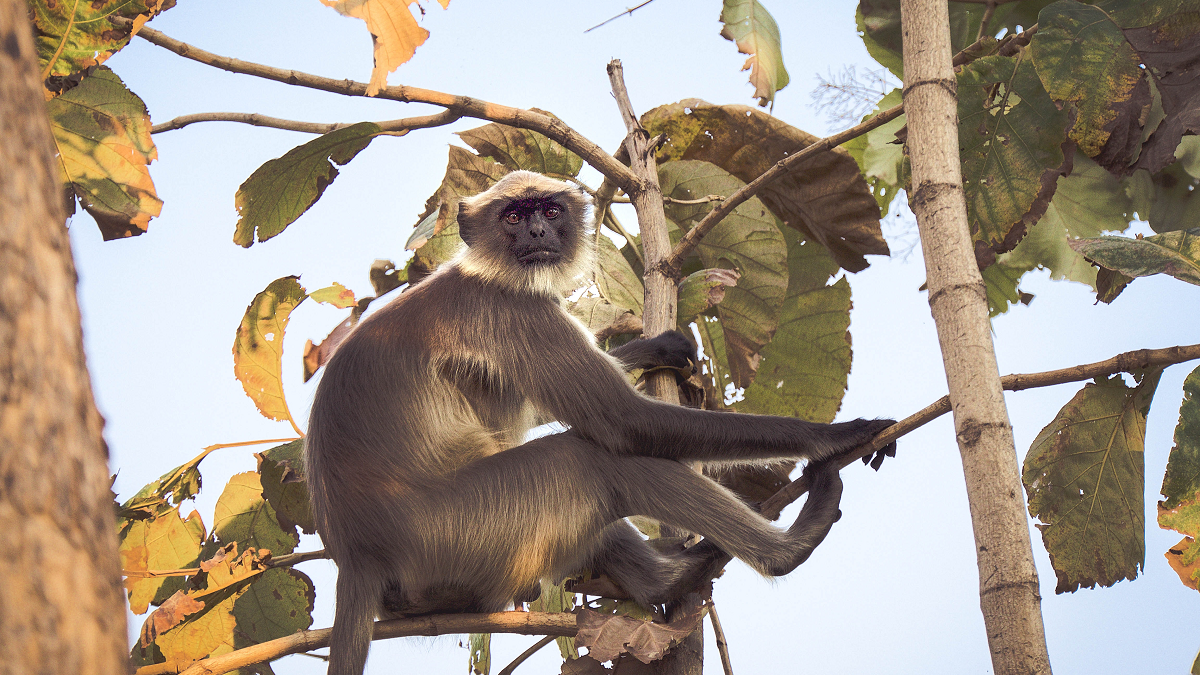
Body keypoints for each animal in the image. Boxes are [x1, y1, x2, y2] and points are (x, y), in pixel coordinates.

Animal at [304, 168, 897, 672]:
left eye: (548, 210)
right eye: (513, 217)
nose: (539, 230)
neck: (484, 273)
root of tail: (358, 554)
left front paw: (654, 348)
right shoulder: (512, 312)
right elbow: (623, 422)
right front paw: (833, 436)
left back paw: (666, 582)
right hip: (462, 530)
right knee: (591, 459)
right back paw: (785, 550)